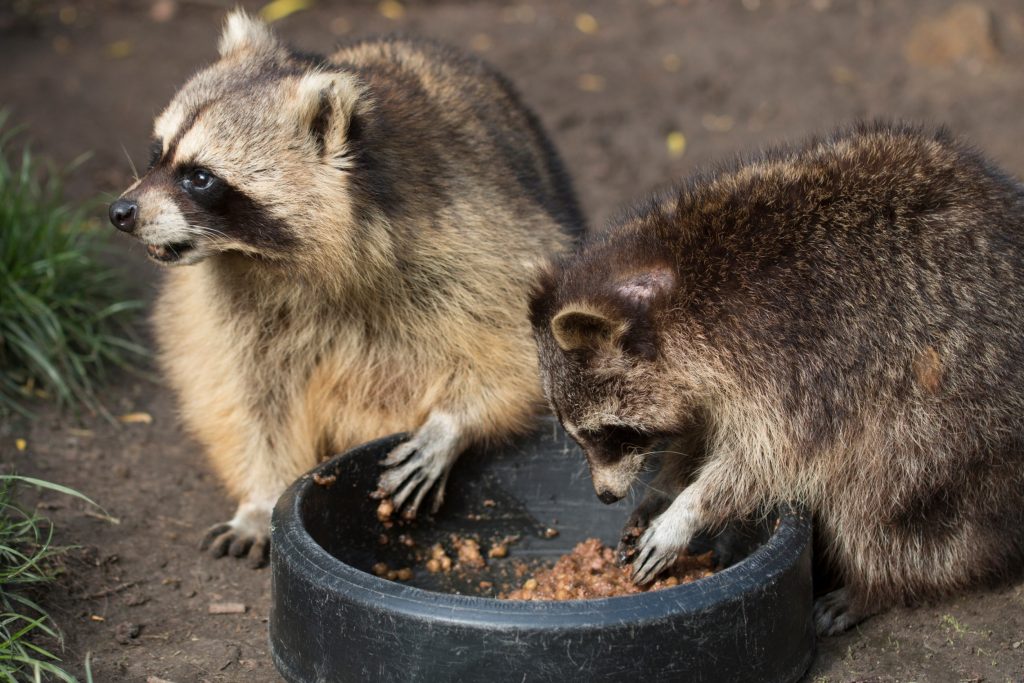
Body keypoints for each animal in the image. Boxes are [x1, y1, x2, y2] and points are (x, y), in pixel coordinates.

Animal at [108, 10, 585, 569]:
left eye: (200, 178)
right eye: (157, 153)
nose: (120, 212)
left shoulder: (474, 233)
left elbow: (523, 345)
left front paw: (451, 423)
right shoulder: (223, 300)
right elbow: (244, 395)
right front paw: (261, 497)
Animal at [528, 122, 1024, 634]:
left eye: (606, 433)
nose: (605, 496)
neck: (674, 282)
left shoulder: (802, 361)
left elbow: (768, 460)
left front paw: (689, 508)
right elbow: (704, 426)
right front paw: (665, 486)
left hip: (959, 418)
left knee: (882, 497)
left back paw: (876, 584)